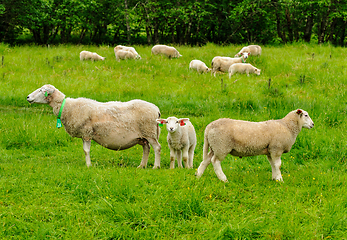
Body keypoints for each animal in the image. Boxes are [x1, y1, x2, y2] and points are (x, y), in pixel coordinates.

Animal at [26, 84, 162, 169]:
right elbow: (85, 150)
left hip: (150, 132)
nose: (27, 97)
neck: (66, 107)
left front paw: (88, 165)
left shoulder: (86, 133)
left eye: (41, 90)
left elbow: (86, 150)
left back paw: (156, 166)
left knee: (157, 148)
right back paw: (141, 166)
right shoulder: (84, 134)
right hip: (143, 136)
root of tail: (156, 109)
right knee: (146, 148)